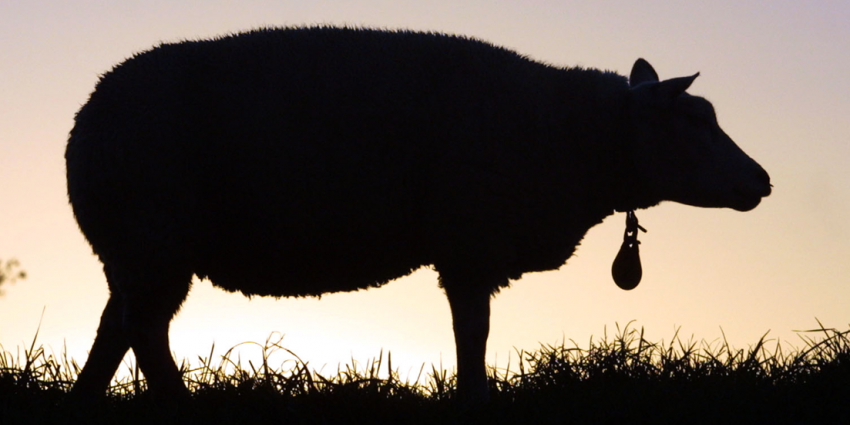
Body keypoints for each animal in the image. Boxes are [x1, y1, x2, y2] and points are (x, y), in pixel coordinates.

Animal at [66, 26, 768, 400]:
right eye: (692, 122)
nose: (762, 182)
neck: (571, 134)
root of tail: (86, 119)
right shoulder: (469, 244)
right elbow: (473, 336)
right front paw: (474, 397)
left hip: (133, 248)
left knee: (115, 330)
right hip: (154, 235)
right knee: (144, 332)